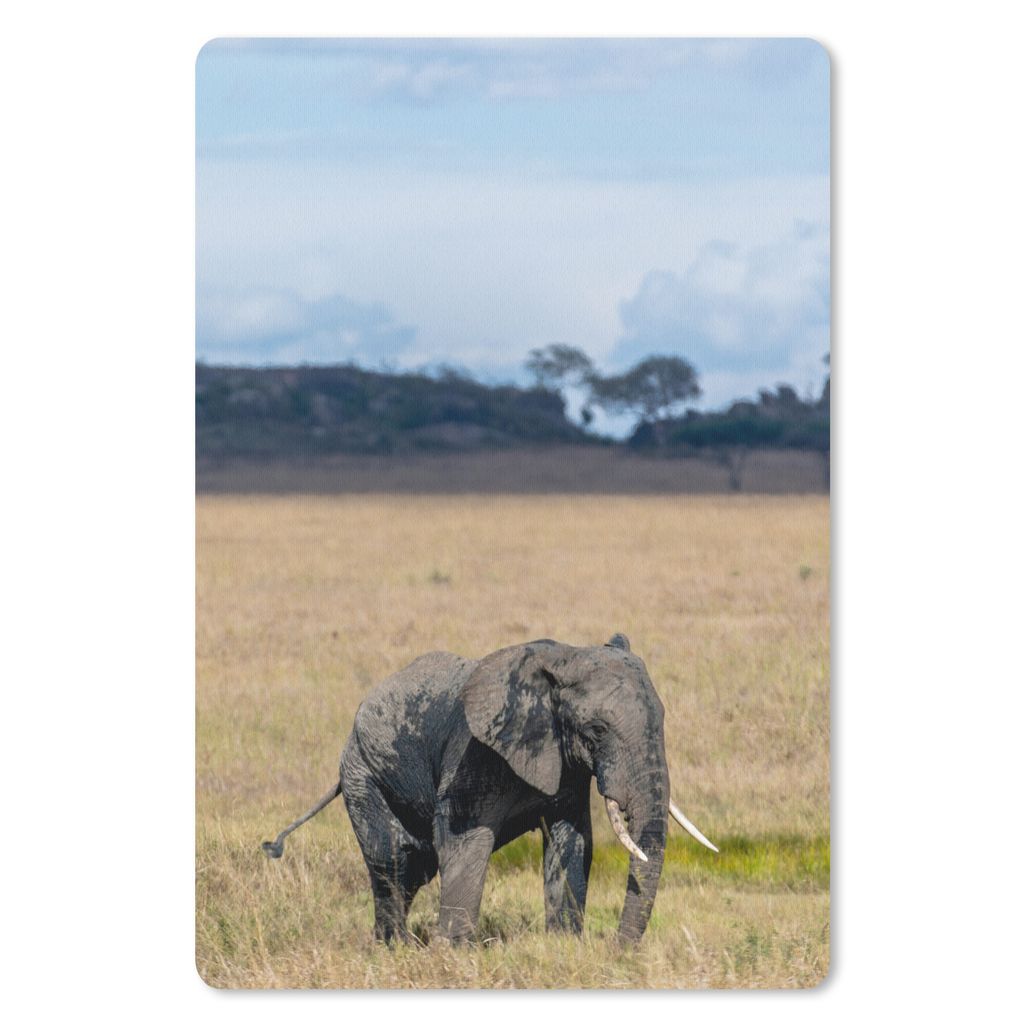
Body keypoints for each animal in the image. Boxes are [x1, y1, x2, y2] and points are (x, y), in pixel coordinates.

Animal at [262, 634, 717, 944]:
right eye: (598, 730)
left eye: (662, 719)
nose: (617, 951)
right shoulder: (475, 754)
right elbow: (465, 842)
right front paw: (451, 954)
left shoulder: (565, 766)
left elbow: (572, 841)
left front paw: (564, 946)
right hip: (362, 772)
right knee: (392, 859)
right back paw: (394, 948)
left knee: (413, 867)